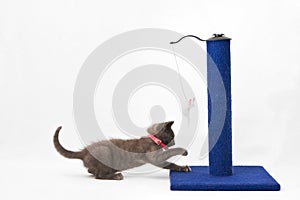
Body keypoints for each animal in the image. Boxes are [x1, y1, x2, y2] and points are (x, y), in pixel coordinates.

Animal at [53, 121, 190, 180]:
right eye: (172, 136)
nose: (174, 142)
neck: (153, 139)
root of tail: (84, 151)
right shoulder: (156, 158)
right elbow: (170, 159)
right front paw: (183, 157)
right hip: (105, 152)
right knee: (99, 175)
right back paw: (116, 175)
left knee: (91, 170)